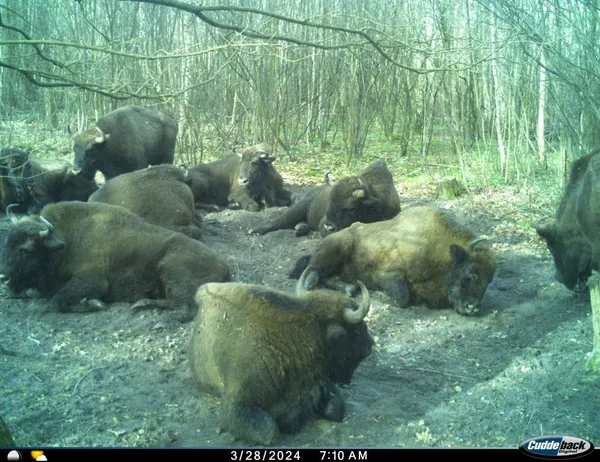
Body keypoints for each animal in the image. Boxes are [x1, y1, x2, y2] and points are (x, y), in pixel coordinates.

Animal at [0, 200, 230, 324]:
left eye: (27, 250)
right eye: (6, 242)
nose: (4, 276)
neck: (68, 239)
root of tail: (222, 263)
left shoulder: (93, 281)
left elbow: (57, 300)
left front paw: (94, 304)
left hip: (172, 270)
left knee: (186, 306)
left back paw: (160, 320)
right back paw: (141, 304)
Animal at [246, 159, 400, 238]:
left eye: (350, 207)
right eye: (329, 201)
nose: (329, 226)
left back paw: (300, 229)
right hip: (297, 209)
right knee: (278, 222)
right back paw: (256, 230)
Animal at [290, 205, 496, 316]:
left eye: (489, 280)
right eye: (471, 272)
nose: (472, 308)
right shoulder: (388, 274)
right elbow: (401, 297)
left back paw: (349, 288)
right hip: (339, 245)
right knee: (314, 269)